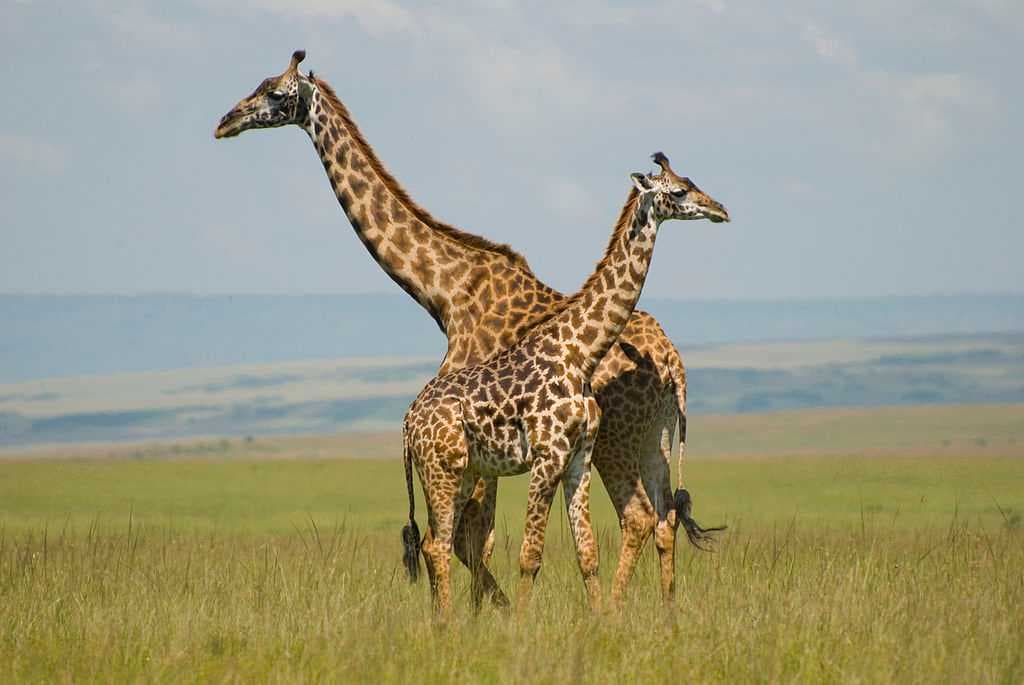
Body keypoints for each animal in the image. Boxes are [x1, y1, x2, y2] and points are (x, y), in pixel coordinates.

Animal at [400, 160, 729, 616]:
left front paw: (602, 620)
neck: (581, 351)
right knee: (438, 544)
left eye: (692, 182)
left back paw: (442, 620)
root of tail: (408, 421)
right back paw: (447, 621)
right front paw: (521, 624)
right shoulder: (547, 455)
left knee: (436, 541)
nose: (720, 210)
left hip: (463, 471)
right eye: (679, 191)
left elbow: (587, 552)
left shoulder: (579, 456)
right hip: (441, 470)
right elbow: (529, 556)